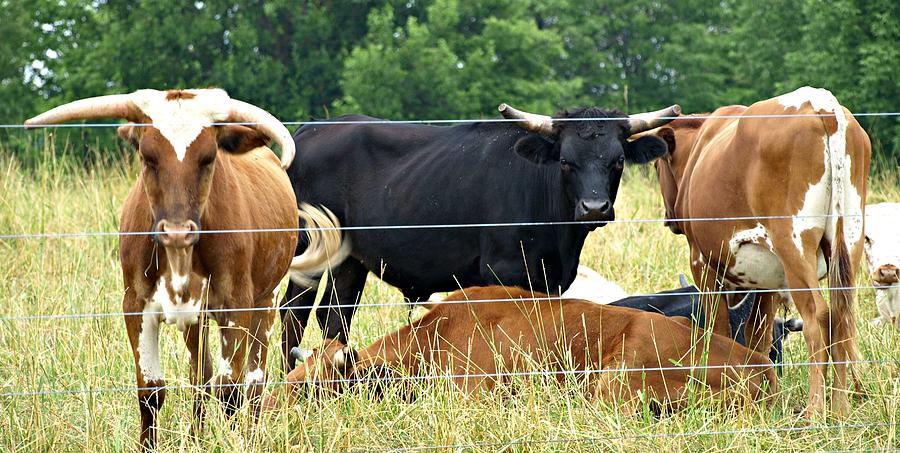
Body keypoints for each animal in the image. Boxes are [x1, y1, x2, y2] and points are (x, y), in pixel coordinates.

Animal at [25, 88, 344, 448]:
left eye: (209, 158)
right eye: (147, 157)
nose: (177, 231)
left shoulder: (236, 306)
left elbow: (230, 390)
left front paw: (232, 443)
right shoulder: (136, 306)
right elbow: (152, 391)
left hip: (266, 303)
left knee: (253, 379)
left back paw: (251, 433)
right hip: (196, 318)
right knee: (200, 377)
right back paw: (196, 436)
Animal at [278, 103, 680, 370]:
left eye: (617, 161)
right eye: (566, 161)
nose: (594, 208)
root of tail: (313, 130)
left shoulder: (550, 279)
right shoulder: (504, 271)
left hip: (349, 260)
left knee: (335, 315)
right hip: (309, 247)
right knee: (294, 311)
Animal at [648, 86, 872, 414]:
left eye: (656, 165)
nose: (668, 218)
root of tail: (821, 102)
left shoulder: (702, 263)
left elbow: (718, 329)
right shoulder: (768, 279)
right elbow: (759, 336)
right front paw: (769, 399)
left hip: (794, 245)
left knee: (818, 317)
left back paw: (814, 410)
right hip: (848, 239)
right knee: (842, 316)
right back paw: (840, 408)